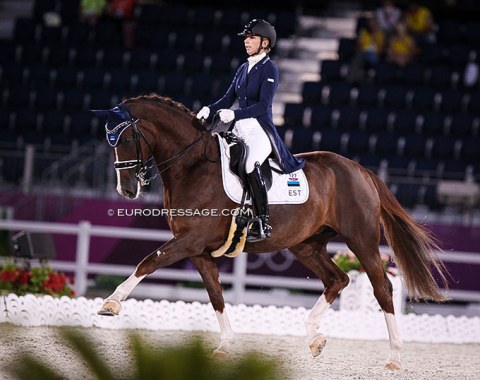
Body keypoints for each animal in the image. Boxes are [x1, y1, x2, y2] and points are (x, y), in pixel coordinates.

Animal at [95, 93, 448, 370]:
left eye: (126, 140)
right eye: (110, 142)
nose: (127, 190)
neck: (193, 166)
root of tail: (360, 169)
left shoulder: (189, 241)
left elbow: (149, 261)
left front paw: (111, 304)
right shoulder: (199, 251)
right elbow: (216, 295)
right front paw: (225, 345)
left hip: (361, 240)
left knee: (381, 288)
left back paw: (394, 357)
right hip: (306, 245)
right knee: (337, 279)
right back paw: (314, 337)